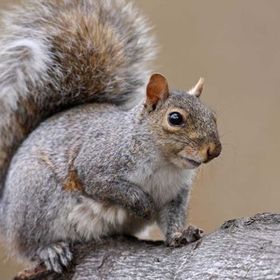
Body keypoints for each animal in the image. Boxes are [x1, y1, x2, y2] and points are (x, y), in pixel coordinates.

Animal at [0, 0, 221, 274]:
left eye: (213, 116)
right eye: (175, 118)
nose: (214, 150)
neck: (164, 163)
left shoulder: (174, 194)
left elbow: (172, 217)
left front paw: (180, 234)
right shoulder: (97, 164)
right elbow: (107, 186)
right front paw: (142, 204)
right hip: (36, 196)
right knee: (28, 244)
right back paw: (49, 250)